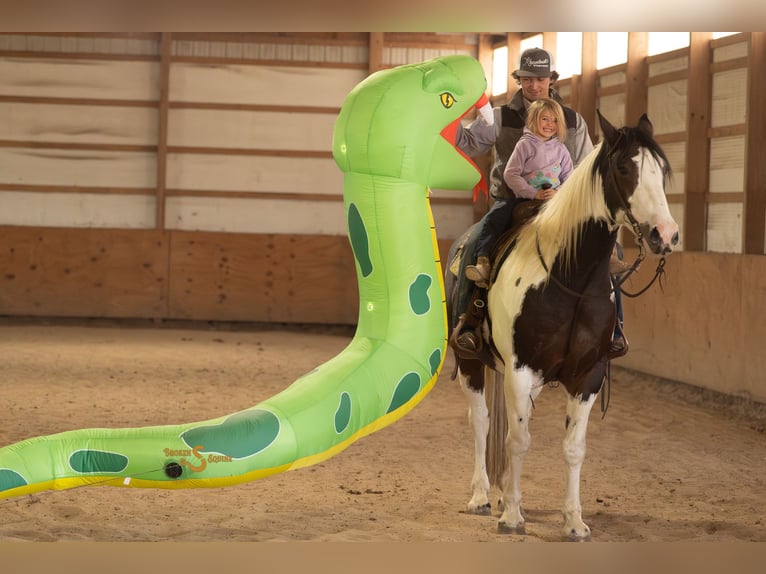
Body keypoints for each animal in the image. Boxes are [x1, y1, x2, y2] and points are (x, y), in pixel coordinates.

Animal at [444, 110, 679, 540]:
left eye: (661, 170)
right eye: (624, 168)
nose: (665, 234)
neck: (571, 276)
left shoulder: (588, 375)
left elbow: (573, 447)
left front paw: (574, 521)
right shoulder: (520, 369)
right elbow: (518, 440)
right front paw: (511, 517)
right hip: (470, 361)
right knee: (481, 423)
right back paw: (483, 496)